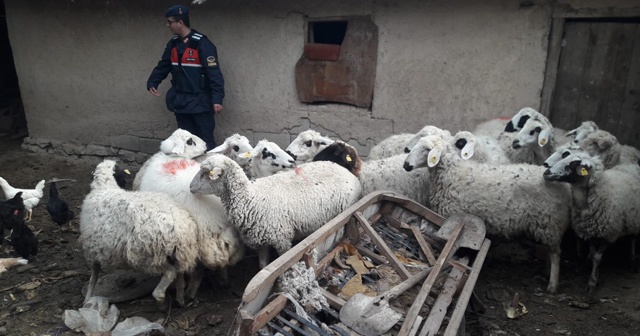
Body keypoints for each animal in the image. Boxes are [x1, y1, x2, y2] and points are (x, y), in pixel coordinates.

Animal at [81, 159, 199, 306]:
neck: (105, 187)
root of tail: (182, 230)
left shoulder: (92, 249)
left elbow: (94, 276)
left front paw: (87, 298)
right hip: (177, 254)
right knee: (179, 275)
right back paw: (181, 299)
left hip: (148, 256)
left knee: (170, 273)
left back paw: (160, 297)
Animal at [189, 154, 360, 268]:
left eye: (204, 174)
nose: (190, 187)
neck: (250, 198)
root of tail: (348, 173)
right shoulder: (262, 238)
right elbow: (263, 266)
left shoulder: (282, 240)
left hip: (343, 214)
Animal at [404, 135, 568, 292]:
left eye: (427, 149)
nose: (406, 165)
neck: (452, 173)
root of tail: (563, 186)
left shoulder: (452, 216)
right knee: (552, 251)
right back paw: (546, 272)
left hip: (548, 221)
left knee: (556, 254)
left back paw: (552, 284)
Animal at [544, 152, 640, 292]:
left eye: (573, 164)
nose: (547, 172)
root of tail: (631, 165)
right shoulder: (588, 230)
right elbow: (593, 252)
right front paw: (594, 272)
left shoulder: (609, 233)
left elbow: (597, 257)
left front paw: (592, 282)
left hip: (635, 219)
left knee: (633, 239)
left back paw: (632, 261)